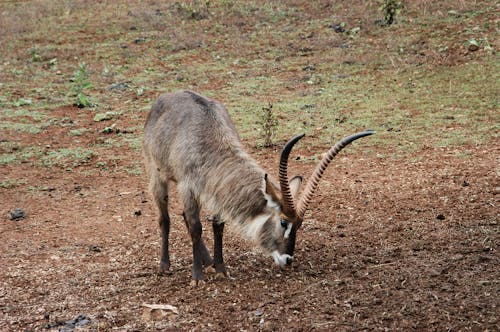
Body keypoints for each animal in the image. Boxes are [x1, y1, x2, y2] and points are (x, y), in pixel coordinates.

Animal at [143, 91, 374, 282]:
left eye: (299, 225)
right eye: (283, 222)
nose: (287, 259)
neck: (209, 141)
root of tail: (166, 97)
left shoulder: (216, 192)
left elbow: (218, 226)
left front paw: (220, 268)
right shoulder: (187, 188)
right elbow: (196, 228)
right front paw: (197, 277)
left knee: (183, 216)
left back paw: (207, 261)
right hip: (157, 175)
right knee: (165, 219)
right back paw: (165, 265)